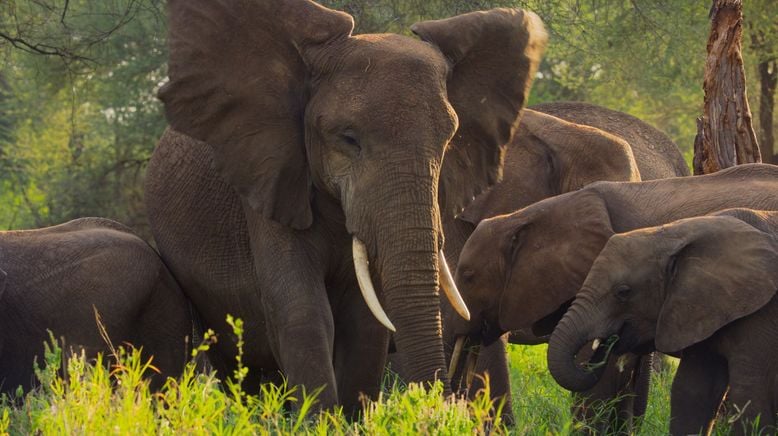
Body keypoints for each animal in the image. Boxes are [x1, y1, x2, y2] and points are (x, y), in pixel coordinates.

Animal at [146, 0, 544, 412]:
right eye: (348, 139)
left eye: (449, 140)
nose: (448, 408)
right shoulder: (268, 174)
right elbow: (301, 307)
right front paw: (319, 420)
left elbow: (366, 321)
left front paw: (350, 418)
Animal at [544, 209, 776, 434]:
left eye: (623, 292)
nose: (606, 343)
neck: (673, 235)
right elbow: (691, 392)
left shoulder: (762, 315)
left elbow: (751, 396)